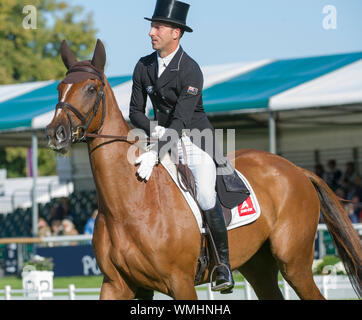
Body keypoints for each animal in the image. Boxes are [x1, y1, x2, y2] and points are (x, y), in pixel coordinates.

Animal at [46, 40, 360, 300]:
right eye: (60, 88)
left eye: (91, 88)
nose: (55, 133)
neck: (129, 204)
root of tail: (296, 169)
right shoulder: (118, 285)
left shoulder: (180, 283)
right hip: (258, 265)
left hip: (294, 264)